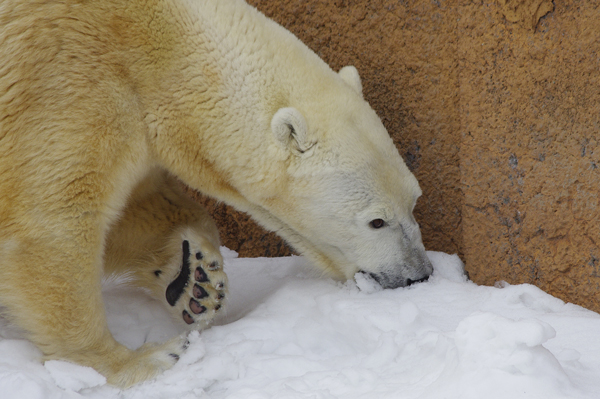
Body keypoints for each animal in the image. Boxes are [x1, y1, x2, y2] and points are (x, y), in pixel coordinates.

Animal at [0, 0, 432, 390]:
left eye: (414, 200)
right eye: (376, 221)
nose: (419, 273)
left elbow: (138, 205)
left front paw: (196, 278)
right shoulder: (67, 85)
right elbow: (54, 223)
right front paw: (140, 361)